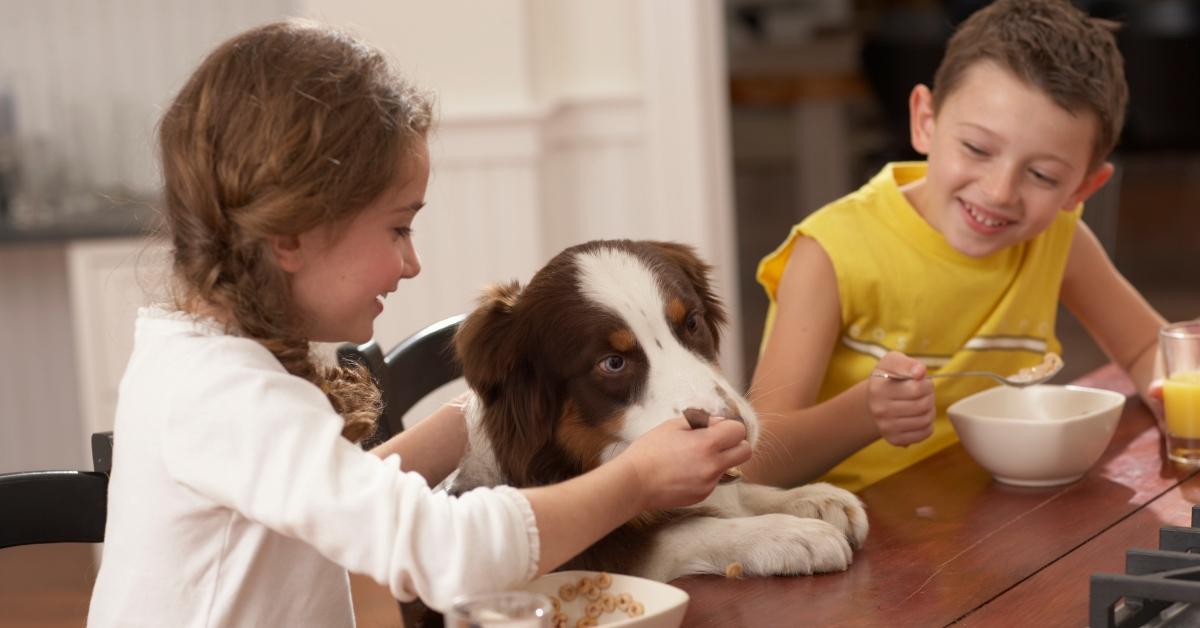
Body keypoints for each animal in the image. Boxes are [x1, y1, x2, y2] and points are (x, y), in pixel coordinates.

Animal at [448, 242, 864, 585]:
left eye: (692, 323)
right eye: (613, 363)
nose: (737, 429)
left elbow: (738, 494)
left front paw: (815, 498)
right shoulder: (583, 550)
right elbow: (684, 530)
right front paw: (791, 534)